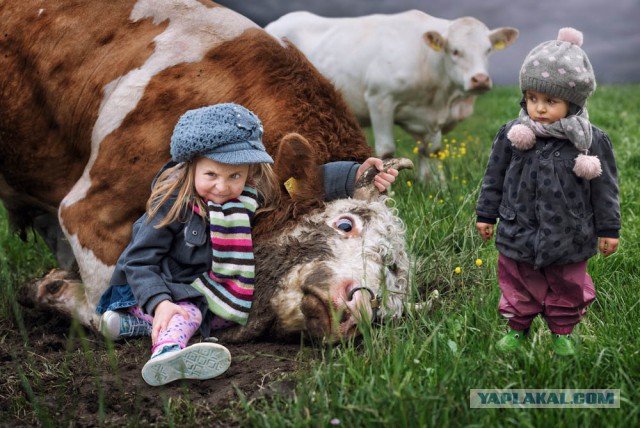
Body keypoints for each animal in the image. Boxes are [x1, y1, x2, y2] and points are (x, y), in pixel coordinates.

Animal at [0, 0, 410, 342]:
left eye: (390, 285)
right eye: (345, 224)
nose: (360, 307)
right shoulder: (89, 212)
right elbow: (112, 313)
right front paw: (49, 289)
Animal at [264, 10, 520, 177]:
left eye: (488, 50)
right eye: (455, 51)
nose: (480, 79)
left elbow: (432, 151)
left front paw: (435, 185)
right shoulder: (380, 99)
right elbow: (387, 151)